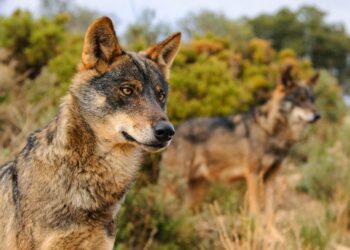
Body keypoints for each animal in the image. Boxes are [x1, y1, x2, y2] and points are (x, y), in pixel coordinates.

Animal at [159, 66, 320, 230]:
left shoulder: (270, 177)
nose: (317, 115)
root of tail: (174, 130)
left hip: (195, 191)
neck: (271, 131)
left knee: (182, 216)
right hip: (175, 185)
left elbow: (270, 212)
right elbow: (256, 211)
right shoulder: (253, 174)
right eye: (300, 99)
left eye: (312, 100)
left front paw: (274, 234)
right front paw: (258, 233)